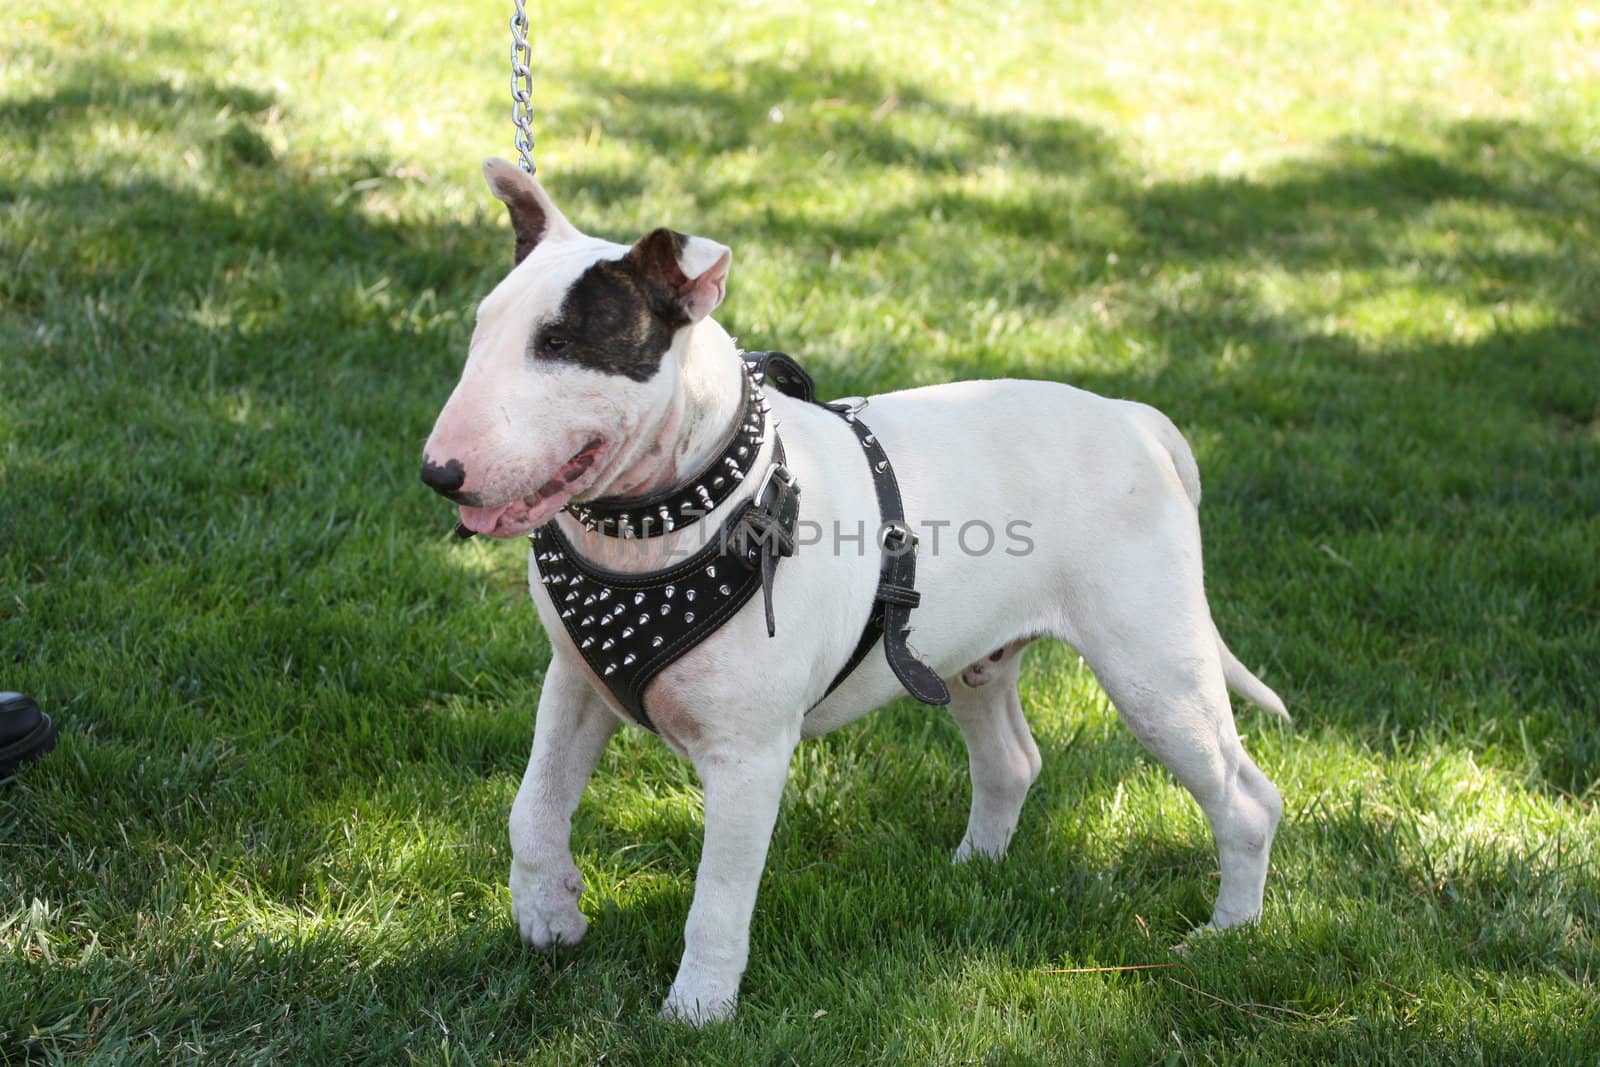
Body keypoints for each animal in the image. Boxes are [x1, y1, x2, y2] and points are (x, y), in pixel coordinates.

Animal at [422, 160, 1286, 1023]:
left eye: (560, 343)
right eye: (481, 330)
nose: (438, 472)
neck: (672, 516)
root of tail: (1136, 418)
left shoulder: (749, 754)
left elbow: (718, 896)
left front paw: (696, 1010)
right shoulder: (574, 682)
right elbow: (532, 805)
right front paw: (548, 912)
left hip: (1154, 666)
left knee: (1246, 798)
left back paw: (1226, 934)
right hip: (969, 656)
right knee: (1011, 760)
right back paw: (969, 870)